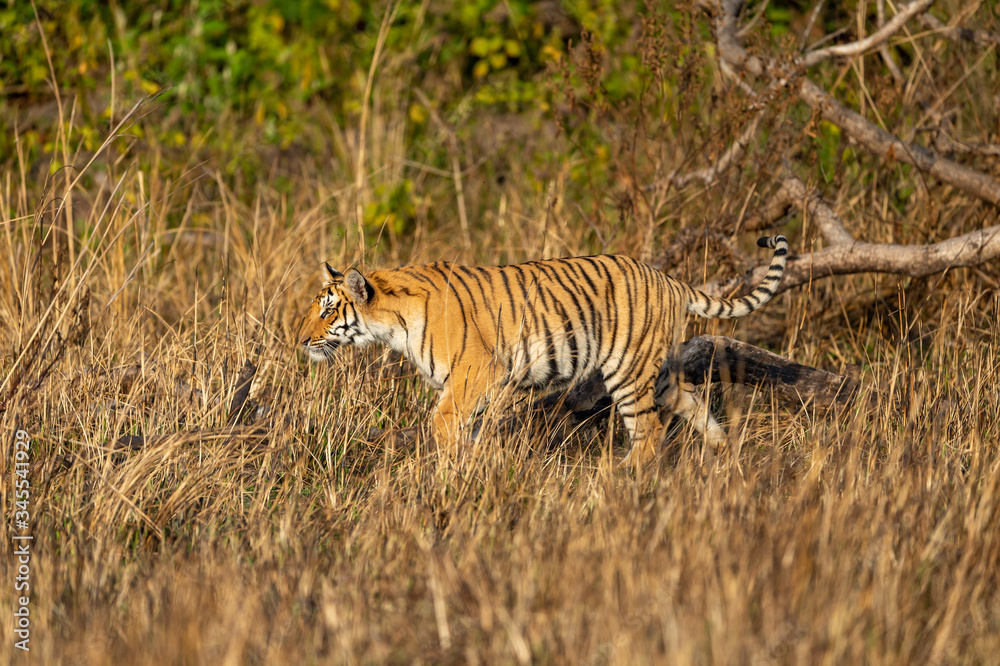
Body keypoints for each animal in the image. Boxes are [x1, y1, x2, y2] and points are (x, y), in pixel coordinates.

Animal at [299, 236, 788, 469]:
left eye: (327, 311)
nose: (300, 340)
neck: (392, 324)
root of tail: (668, 278)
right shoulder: (471, 386)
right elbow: (471, 431)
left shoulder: (474, 375)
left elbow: (442, 426)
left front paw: (450, 472)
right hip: (657, 371)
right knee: (694, 403)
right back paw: (725, 456)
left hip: (628, 372)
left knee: (649, 435)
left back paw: (619, 476)